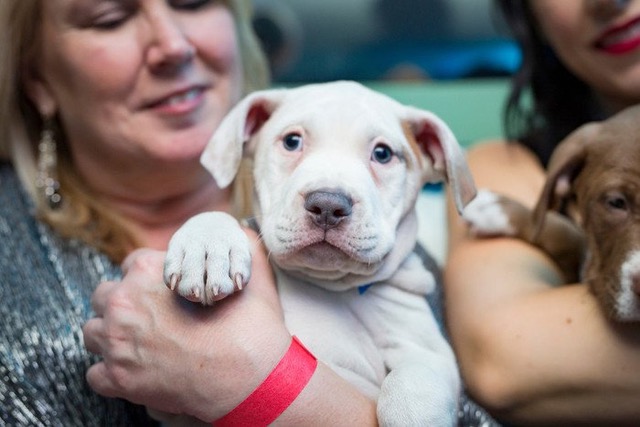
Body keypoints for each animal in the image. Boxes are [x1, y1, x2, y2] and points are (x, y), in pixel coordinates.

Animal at [164, 82, 476, 426]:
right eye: (292, 141)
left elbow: (410, 383)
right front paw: (206, 245)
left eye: (382, 154)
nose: (328, 204)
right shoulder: (175, 411)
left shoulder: (430, 354)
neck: (332, 286)